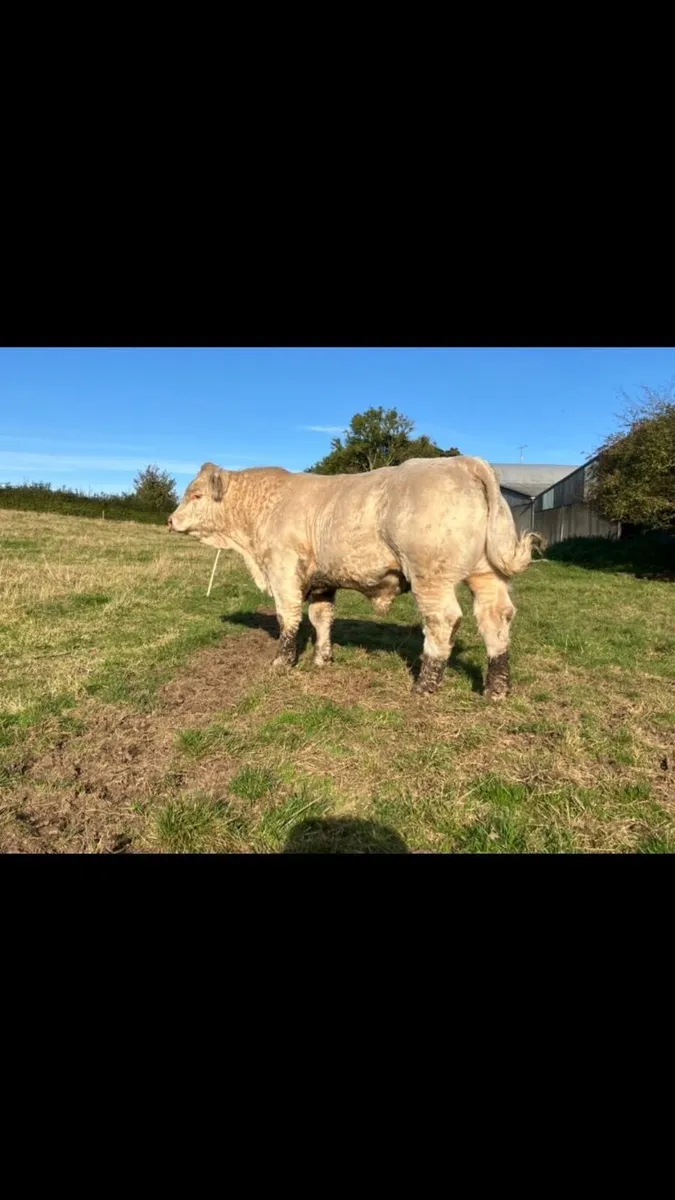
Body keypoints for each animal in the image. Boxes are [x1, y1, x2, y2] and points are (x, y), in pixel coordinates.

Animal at [168, 456, 538, 698]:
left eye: (196, 495)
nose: (170, 520)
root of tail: (464, 462)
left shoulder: (282, 569)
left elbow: (287, 617)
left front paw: (281, 662)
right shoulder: (322, 581)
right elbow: (320, 617)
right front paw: (322, 658)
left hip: (430, 575)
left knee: (442, 621)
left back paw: (425, 685)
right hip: (486, 573)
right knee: (495, 619)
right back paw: (496, 689)